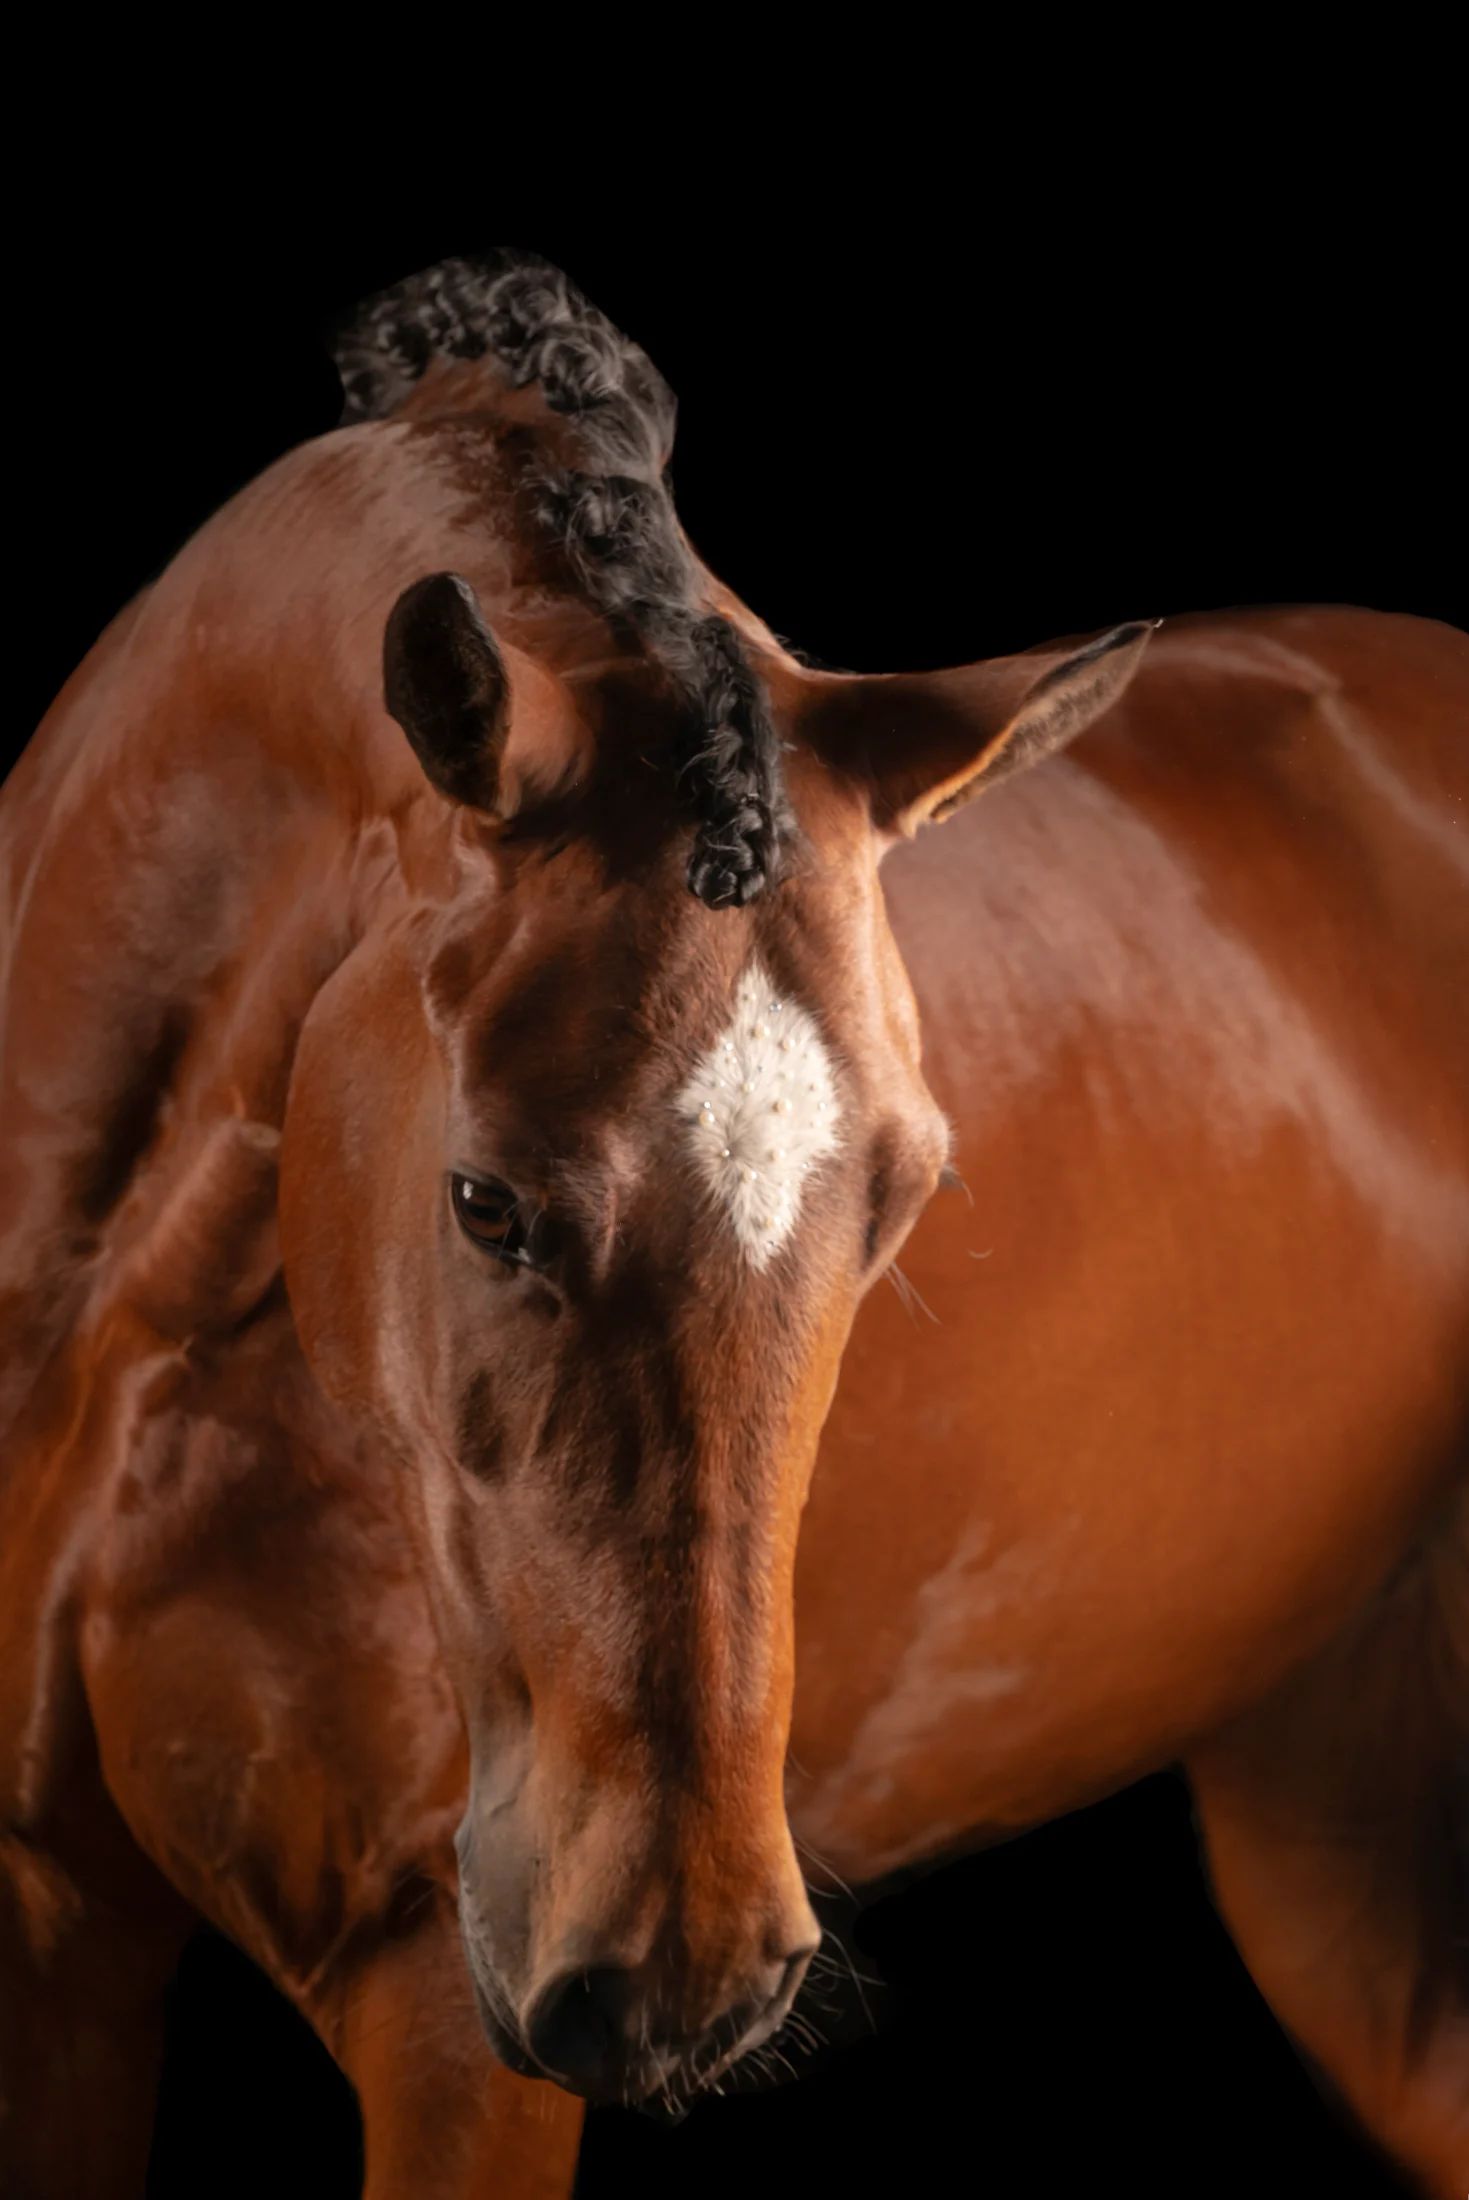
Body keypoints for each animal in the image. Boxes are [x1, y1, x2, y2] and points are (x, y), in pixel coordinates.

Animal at [1, 248, 1464, 2199]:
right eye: (483, 1201)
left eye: (905, 1199)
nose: (672, 1976)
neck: (125, 1323)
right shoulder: (50, 1935)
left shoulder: (445, 2013)